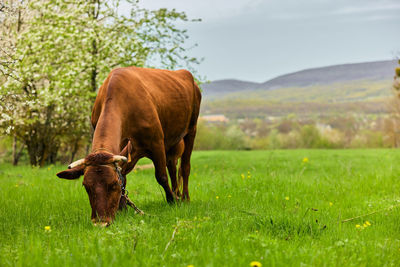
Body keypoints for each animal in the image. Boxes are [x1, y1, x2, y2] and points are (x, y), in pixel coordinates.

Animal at [56, 67, 202, 226]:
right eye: (86, 186)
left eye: (113, 184)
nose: (101, 222)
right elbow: (124, 176)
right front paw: (122, 209)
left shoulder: (156, 142)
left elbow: (161, 176)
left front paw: (171, 201)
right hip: (171, 143)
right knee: (173, 168)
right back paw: (177, 194)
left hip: (191, 129)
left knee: (184, 167)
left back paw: (184, 198)